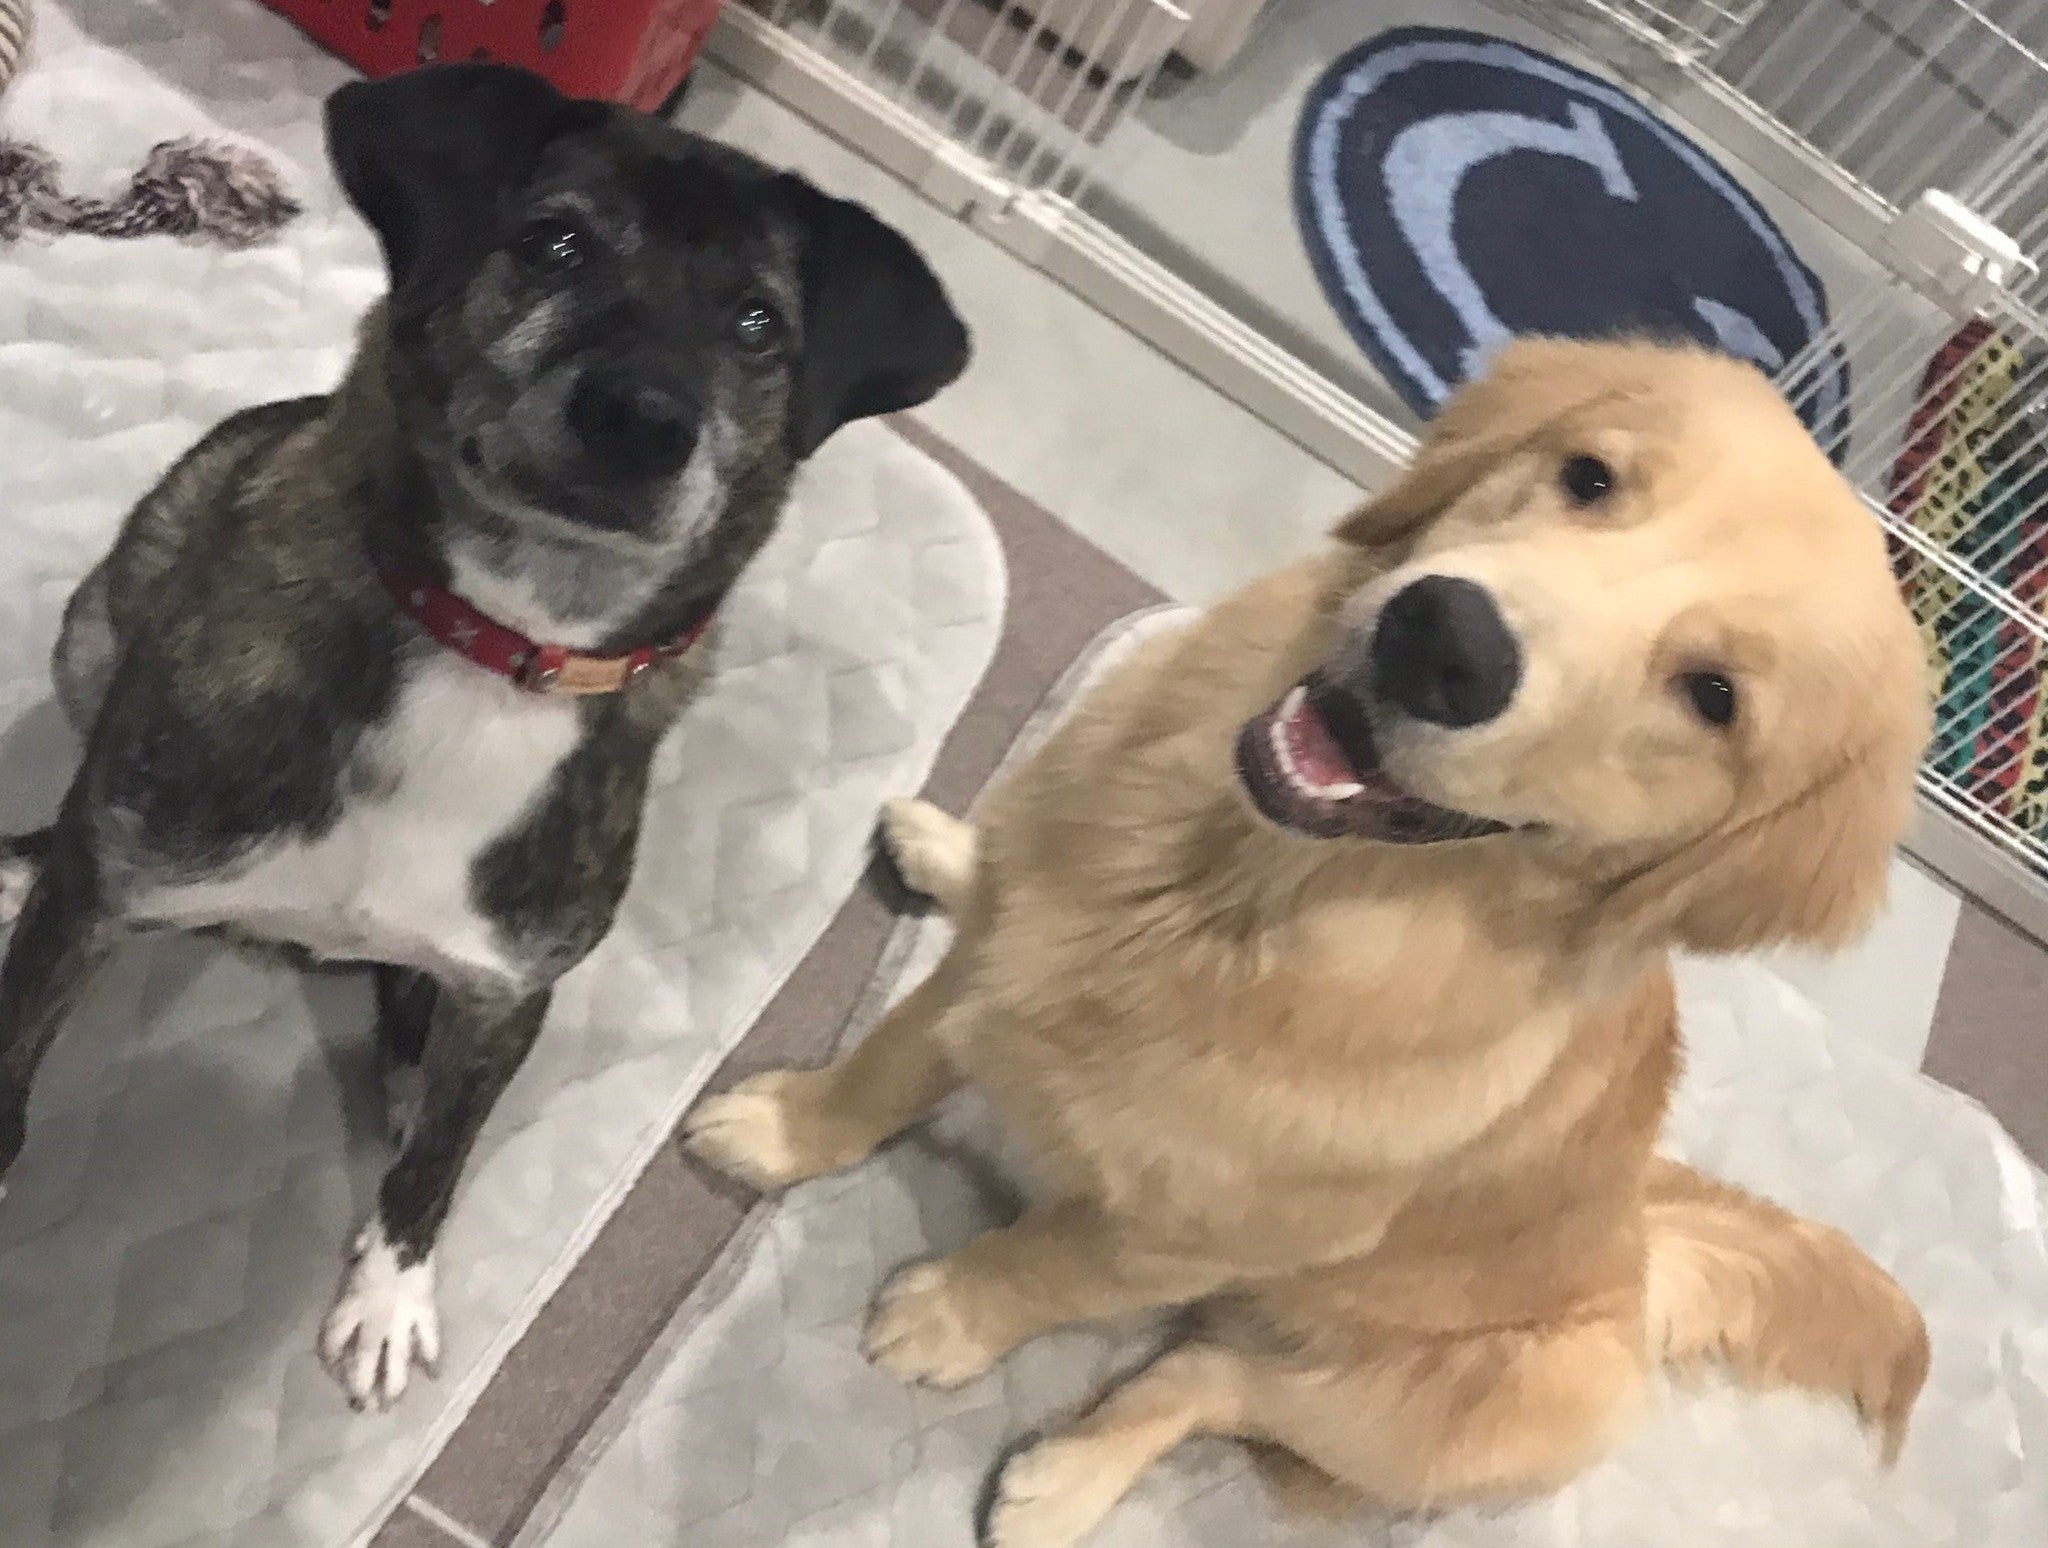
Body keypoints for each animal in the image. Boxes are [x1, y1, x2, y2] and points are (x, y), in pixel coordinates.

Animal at [0, 62, 968, 1411]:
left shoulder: (516, 989)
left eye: (757, 323)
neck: (498, 640)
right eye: (552, 242)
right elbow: (18, 1049)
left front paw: (389, 1290)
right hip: (105, 613)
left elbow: (445, 1159)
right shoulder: (108, 887)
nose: (642, 418)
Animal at [688, 339, 1933, 1546]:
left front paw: (950, 1315)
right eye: (1588, 476)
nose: (1443, 636)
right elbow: (886, 1063)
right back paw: (948, 848)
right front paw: (787, 1129)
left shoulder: (1180, 1240)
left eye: (1712, 696)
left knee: (1210, 1377)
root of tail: (1643, 1263)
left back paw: (1068, 1482)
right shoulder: (991, 960)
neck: (1223, 888)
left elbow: (1043, 1264)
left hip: (1434, 1408)